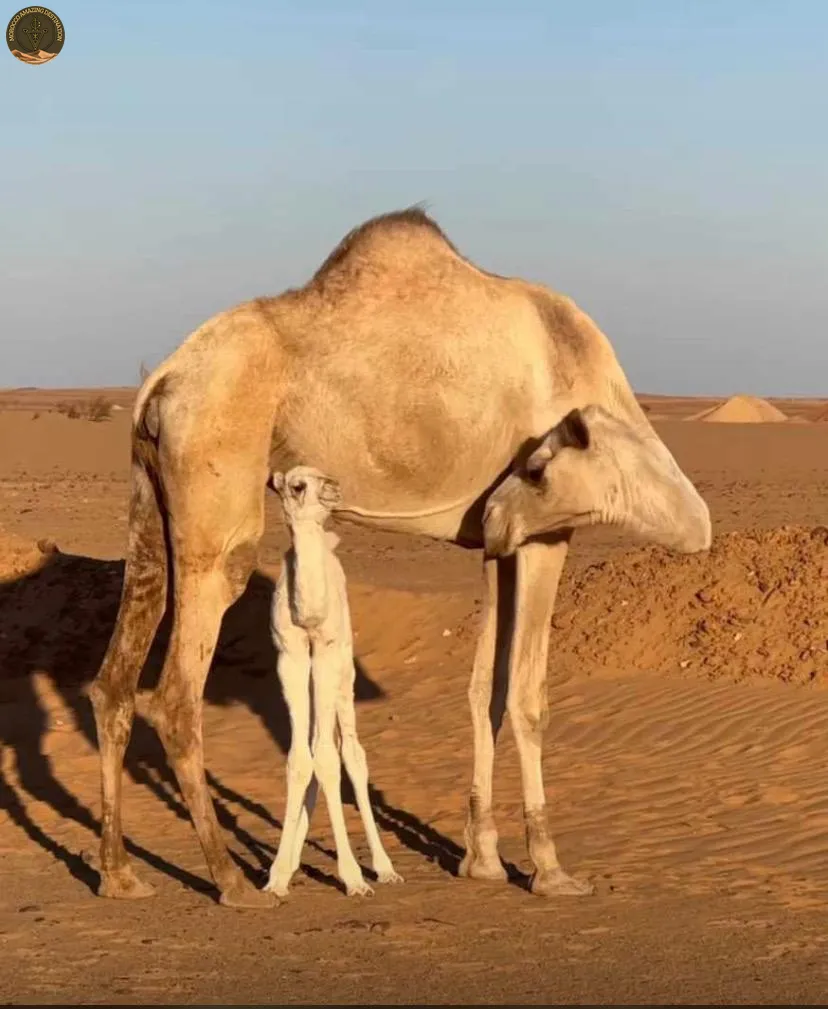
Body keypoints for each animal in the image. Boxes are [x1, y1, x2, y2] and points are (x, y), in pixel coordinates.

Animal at [265, 465, 404, 897]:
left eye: (322, 473)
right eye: (297, 485)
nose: (334, 489)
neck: (308, 610)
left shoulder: (325, 655)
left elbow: (328, 758)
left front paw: (354, 878)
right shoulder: (289, 658)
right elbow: (299, 759)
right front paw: (276, 876)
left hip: (344, 670)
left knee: (352, 755)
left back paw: (385, 868)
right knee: (312, 744)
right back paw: (291, 863)